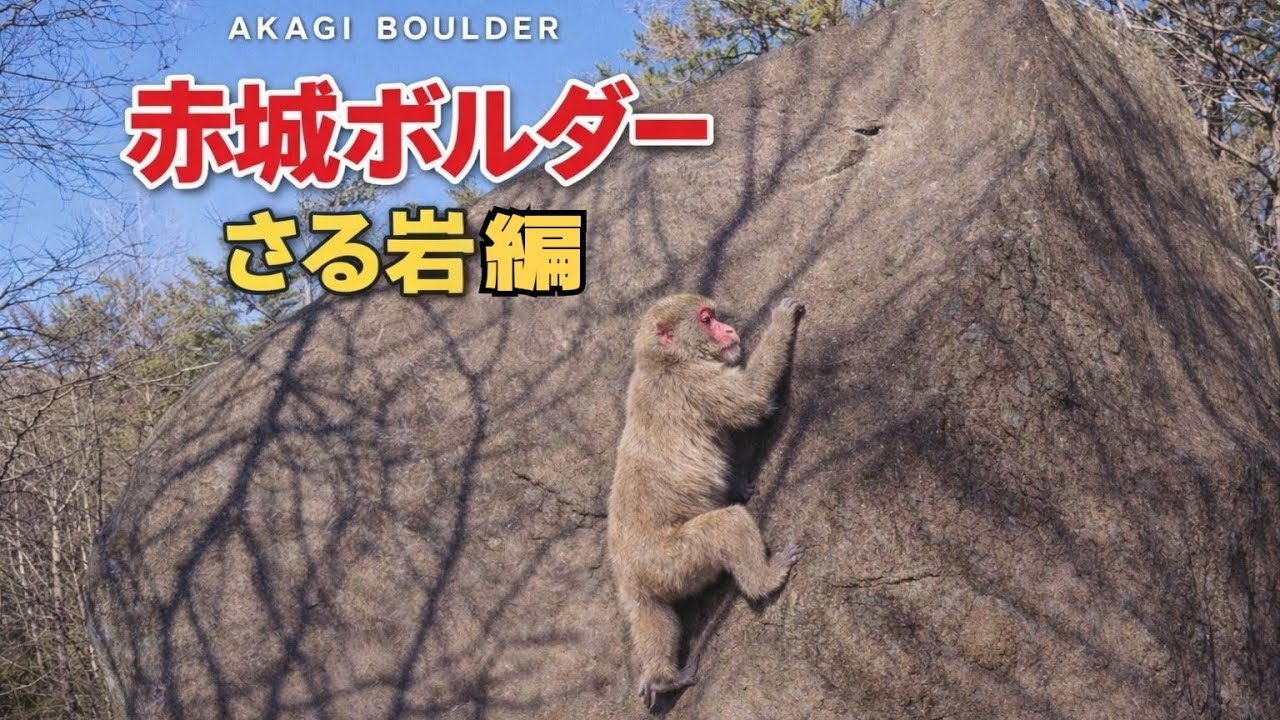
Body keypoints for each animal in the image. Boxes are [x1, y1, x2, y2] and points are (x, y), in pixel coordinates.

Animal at [606, 292, 806, 708]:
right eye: (706, 320)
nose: (729, 329)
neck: (666, 362)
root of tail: (626, 567)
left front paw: (737, 484)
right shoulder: (696, 383)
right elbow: (752, 399)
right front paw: (781, 321)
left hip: (649, 578)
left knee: (651, 614)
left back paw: (661, 677)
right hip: (671, 558)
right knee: (726, 524)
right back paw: (765, 579)